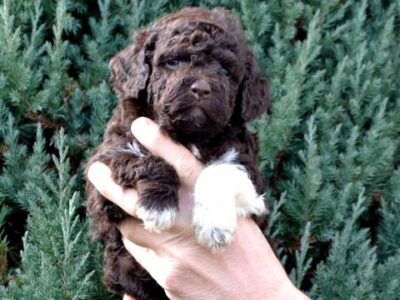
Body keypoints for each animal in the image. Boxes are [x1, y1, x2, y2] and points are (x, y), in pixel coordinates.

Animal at [85, 7, 270, 300]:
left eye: (225, 70)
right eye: (173, 62)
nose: (201, 89)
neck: (187, 135)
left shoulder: (249, 170)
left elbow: (219, 170)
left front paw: (214, 226)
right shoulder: (102, 172)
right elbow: (141, 157)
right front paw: (158, 205)